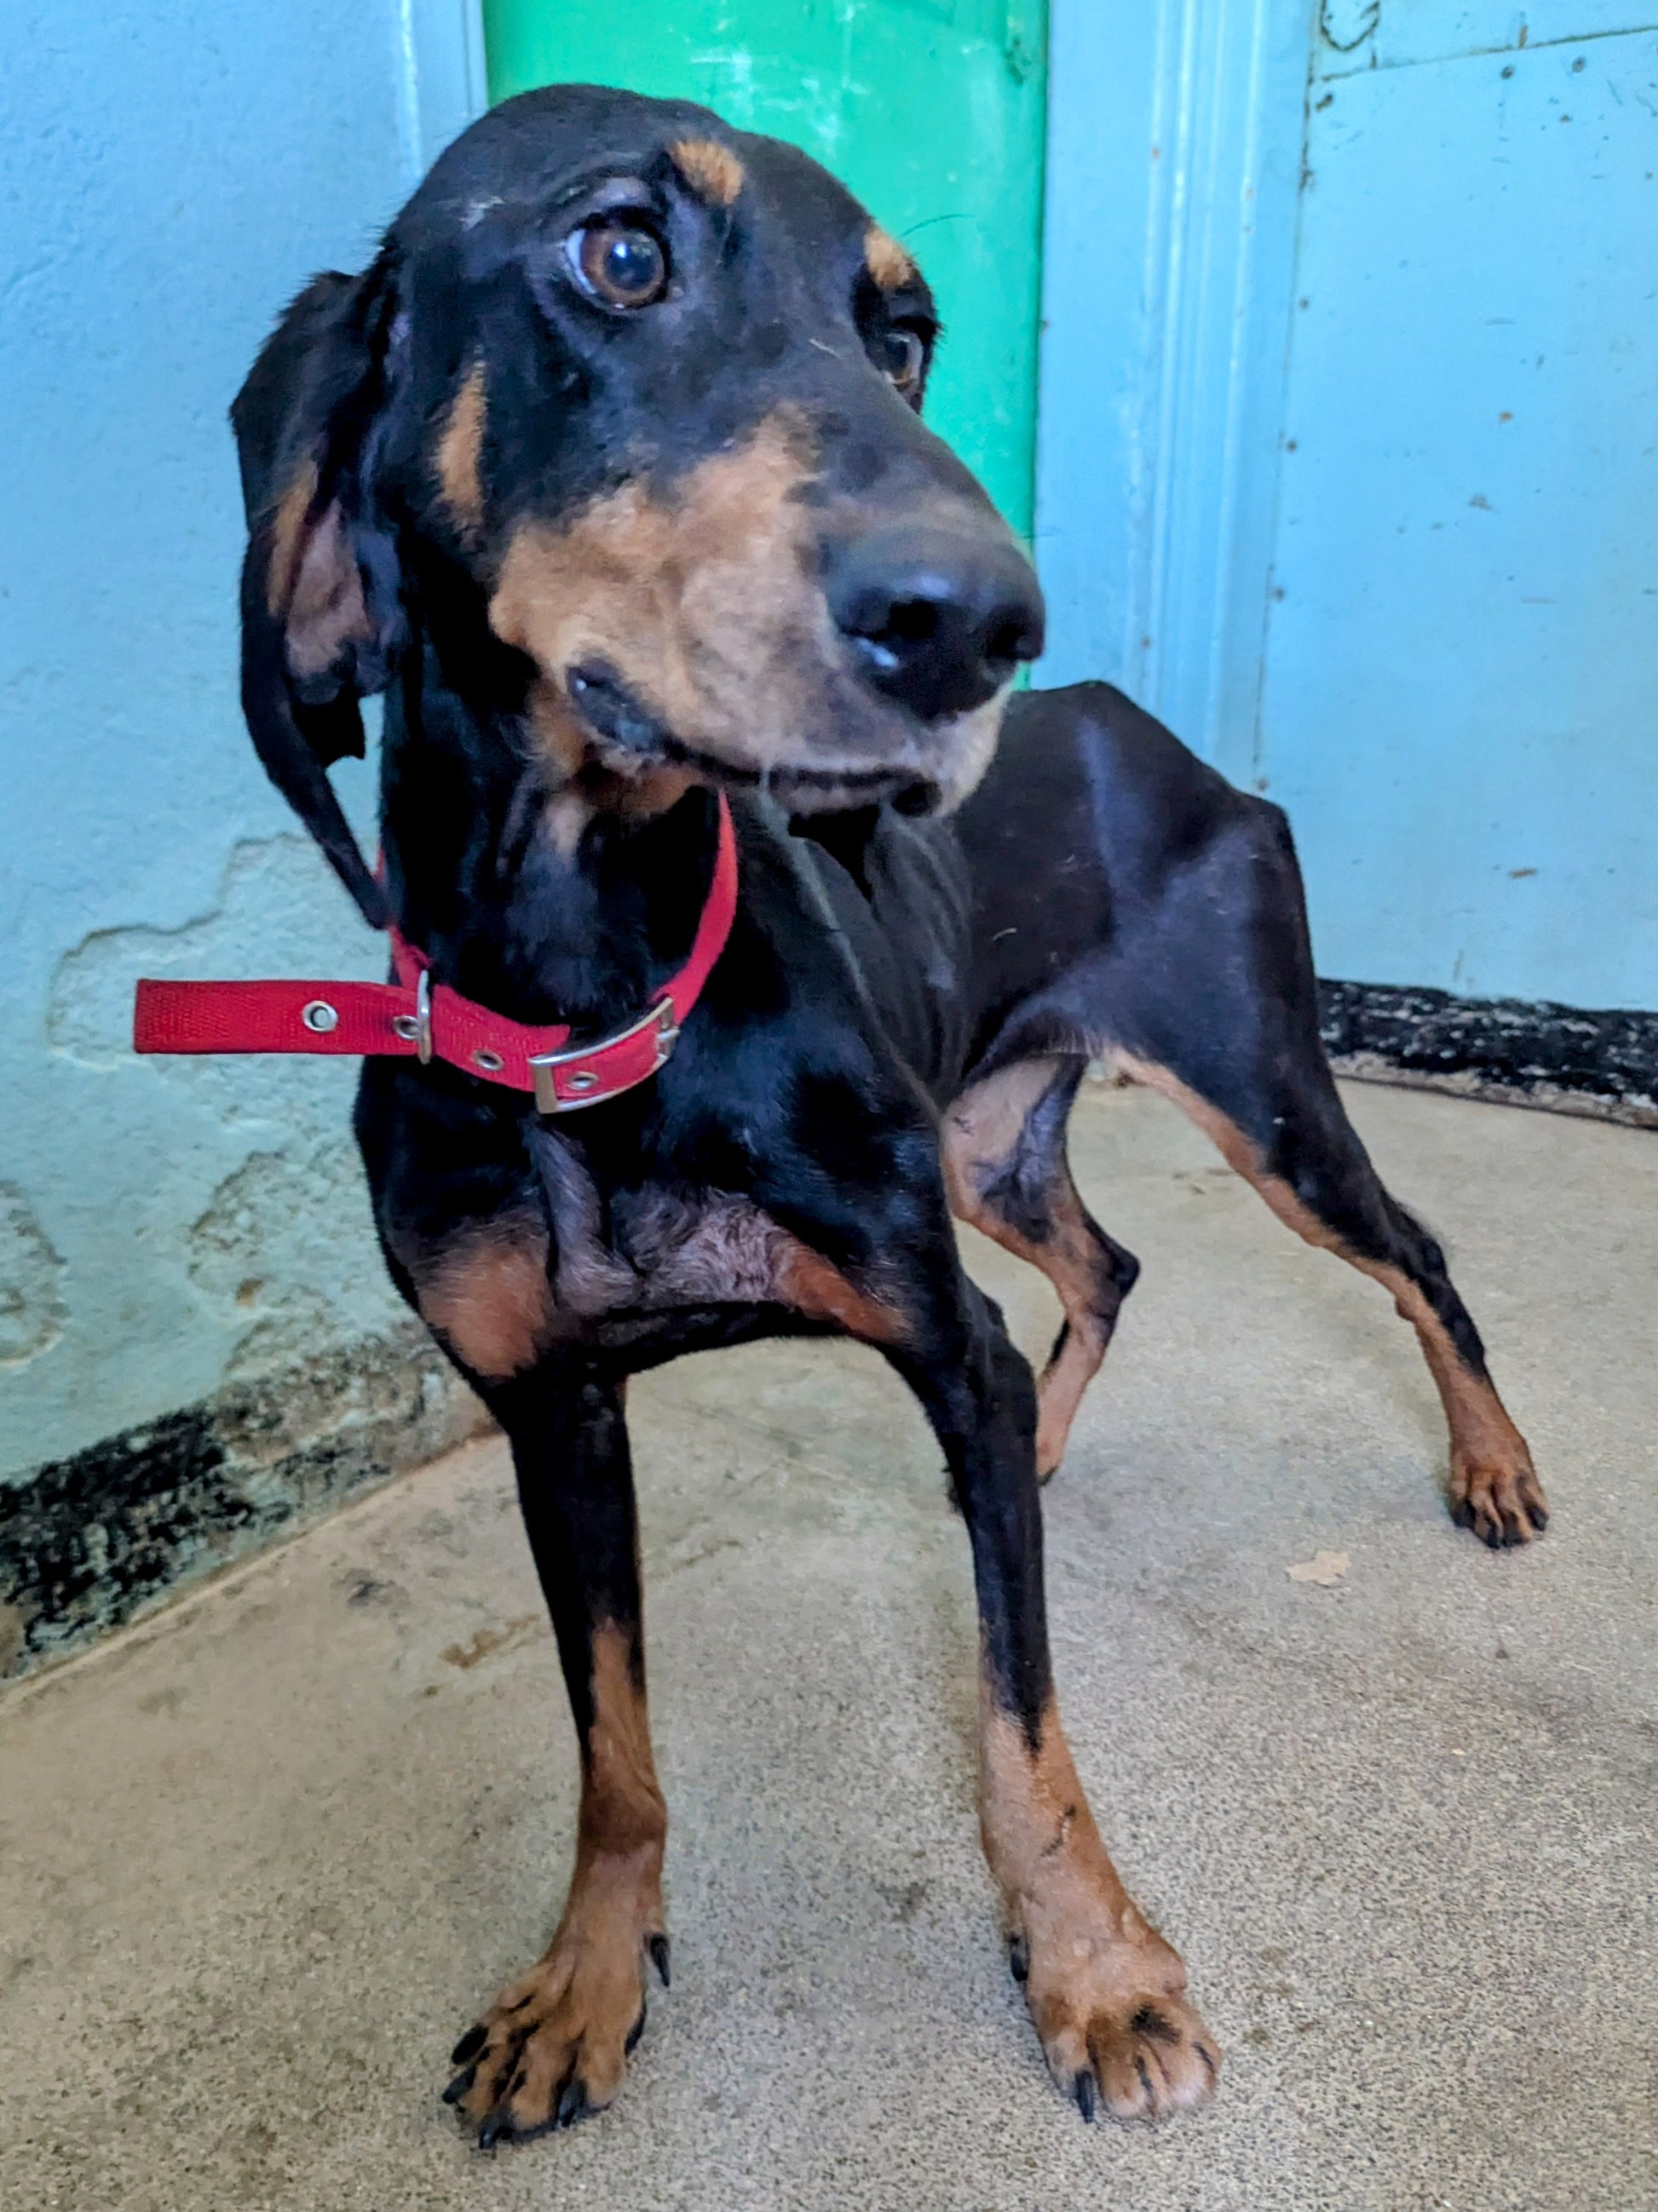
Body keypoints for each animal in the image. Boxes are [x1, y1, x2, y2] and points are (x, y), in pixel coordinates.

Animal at [219, 84, 1547, 2144]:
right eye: (618, 250)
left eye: (902, 336)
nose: (979, 623)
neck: (599, 992)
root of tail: (1167, 739)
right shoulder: (550, 1408)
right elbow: (611, 1748)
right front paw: (584, 1978)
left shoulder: (923, 1313)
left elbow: (1023, 1721)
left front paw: (1093, 1971)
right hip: (988, 1146)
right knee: (1098, 1272)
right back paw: (1046, 1453)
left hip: (1262, 1099)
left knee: (1407, 1253)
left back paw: (1485, 1461)